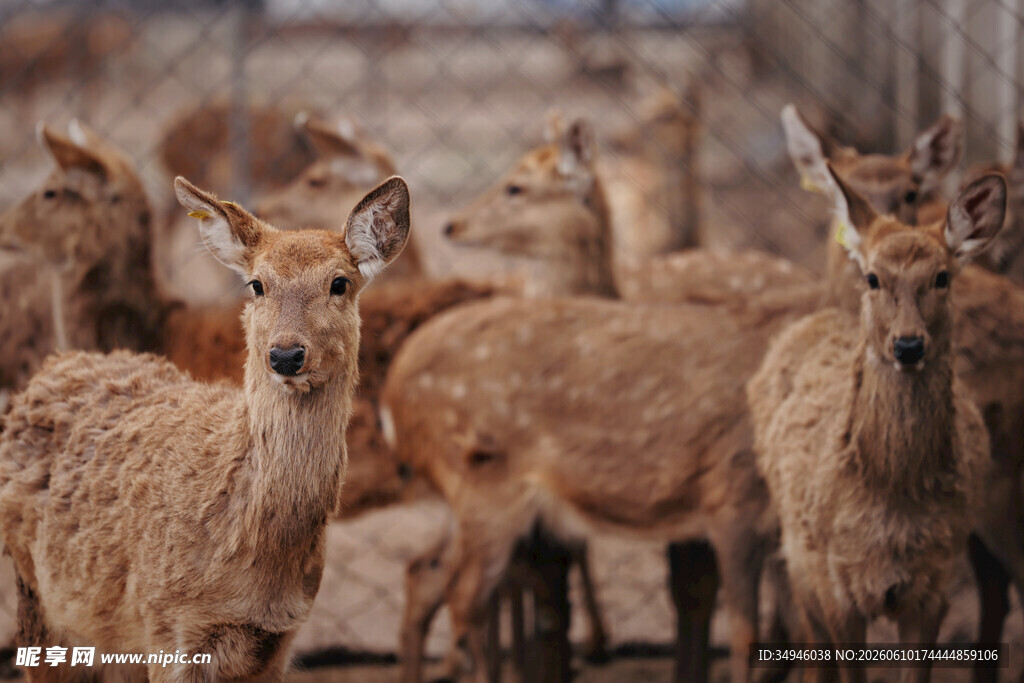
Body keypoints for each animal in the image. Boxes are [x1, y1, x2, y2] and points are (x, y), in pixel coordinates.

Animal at [0, 174, 411, 682]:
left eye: (340, 283)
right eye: (257, 284)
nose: (286, 354)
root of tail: (56, 364)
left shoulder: (279, 639)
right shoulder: (167, 622)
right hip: (38, 597)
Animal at [748, 170, 1006, 683]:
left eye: (942, 277)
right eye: (873, 277)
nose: (908, 345)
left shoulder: (933, 584)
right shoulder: (835, 581)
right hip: (798, 555)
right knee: (811, 650)